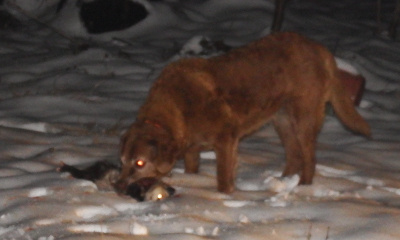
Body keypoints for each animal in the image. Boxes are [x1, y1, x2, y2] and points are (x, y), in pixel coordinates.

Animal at [116, 32, 372, 193]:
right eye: (122, 161)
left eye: (140, 163)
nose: (118, 187)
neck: (179, 107)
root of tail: (319, 47)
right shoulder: (191, 150)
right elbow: (192, 169)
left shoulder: (226, 140)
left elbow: (223, 178)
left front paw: (224, 196)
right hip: (282, 120)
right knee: (294, 156)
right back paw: (281, 182)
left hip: (303, 118)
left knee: (309, 158)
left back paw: (303, 188)